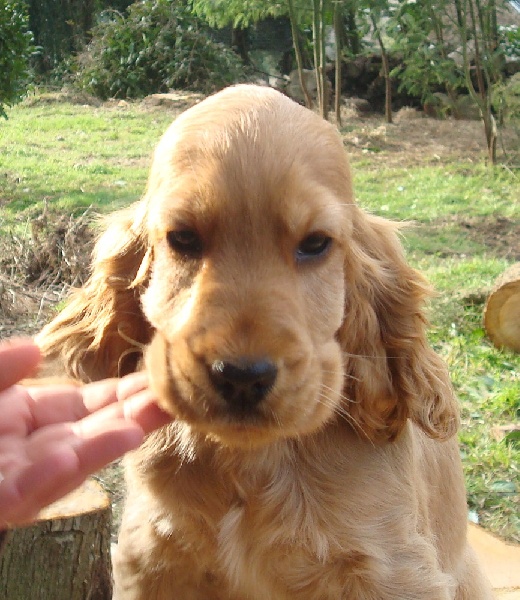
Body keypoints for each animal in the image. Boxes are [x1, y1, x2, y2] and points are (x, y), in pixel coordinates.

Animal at [38, 85, 494, 600]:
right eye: (183, 238)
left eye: (315, 243)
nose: (241, 378)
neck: (249, 463)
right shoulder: (151, 555)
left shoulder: (391, 568)